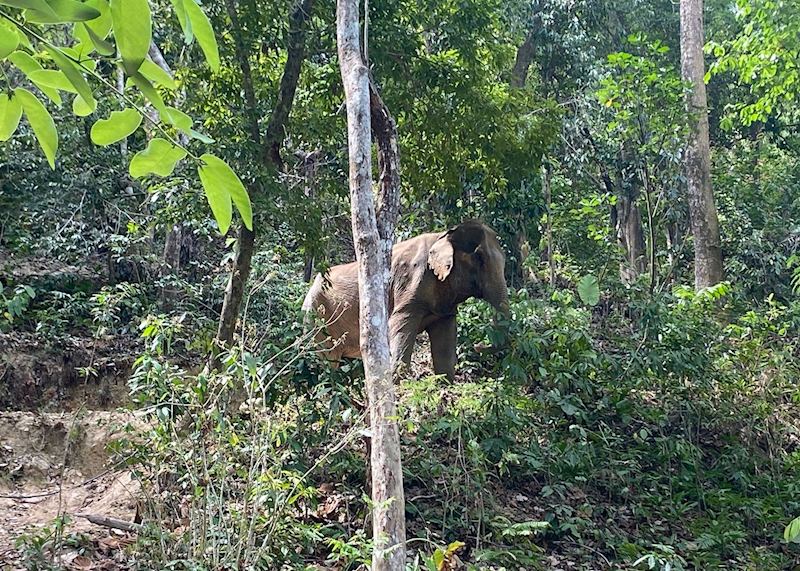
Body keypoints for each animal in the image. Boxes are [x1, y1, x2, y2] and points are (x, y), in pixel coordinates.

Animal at [302, 219, 509, 380]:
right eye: (479, 258)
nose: (478, 346)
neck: (443, 235)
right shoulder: (409, 283)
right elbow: (400, 323)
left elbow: (445, 342)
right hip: (317, 319)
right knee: (328, 363)